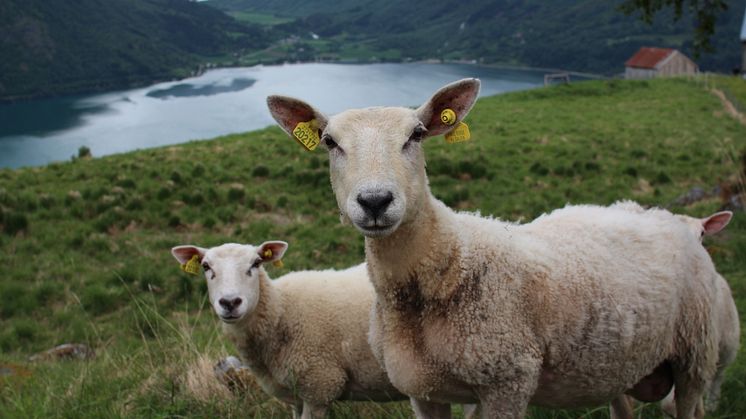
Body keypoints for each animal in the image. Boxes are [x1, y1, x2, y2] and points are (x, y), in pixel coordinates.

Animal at [171, 243, 404, 419]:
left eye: (256, 263)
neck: (281, 309)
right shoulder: (296, 395)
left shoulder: (319, 386)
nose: (230, 302)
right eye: (205, 266)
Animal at [266, 79, 720, 419]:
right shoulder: (422, 391)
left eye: (416, 135)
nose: (375, 201)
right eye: (329, 142)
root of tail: (664, 215)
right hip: (624, 366)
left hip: (695, 356)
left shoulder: (509, 381)